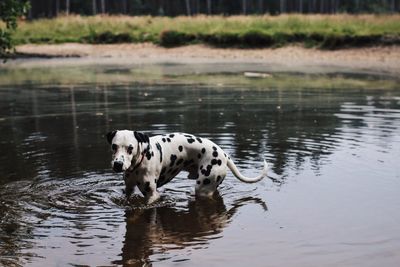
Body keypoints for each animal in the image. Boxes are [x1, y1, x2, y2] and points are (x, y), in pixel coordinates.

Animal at [106, 131, 268, 204]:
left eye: (130, 148)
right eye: (114, 146)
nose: (118, 164)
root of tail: (224, 154)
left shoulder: (152, 195)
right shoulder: (129, 189)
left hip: (203, 189)